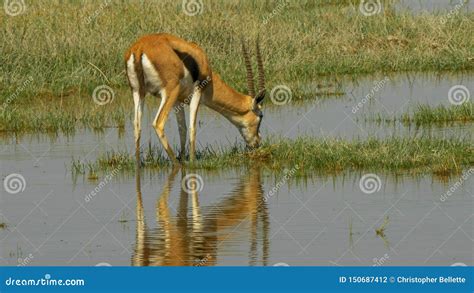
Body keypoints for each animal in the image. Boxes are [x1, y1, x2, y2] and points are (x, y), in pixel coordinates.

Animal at [125, 34, 266, 164]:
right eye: (261, 116)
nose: (257, 142)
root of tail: (140, 47)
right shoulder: (197, 92)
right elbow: (192, 128)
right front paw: (192, 163)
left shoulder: (178, 102)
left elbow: (182, 128)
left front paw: (183, 158)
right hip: (169, 92)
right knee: (158, 123)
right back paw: (176, 164)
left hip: (138, 92)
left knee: (137, 126)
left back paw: (139, 164)